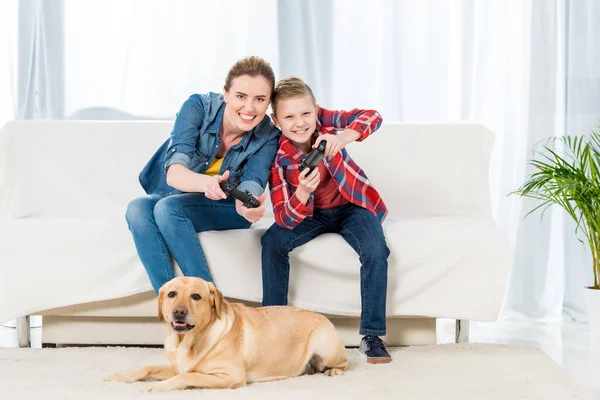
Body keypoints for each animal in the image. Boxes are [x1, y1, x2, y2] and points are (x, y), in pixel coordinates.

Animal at [103, 276, 346, 392]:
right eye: (172, 294)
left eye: (196, 296)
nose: (179, 312)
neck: (187, 342)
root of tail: (324, 317)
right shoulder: (175, 365)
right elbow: (147, 368)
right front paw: (119, 376)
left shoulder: (230, 376)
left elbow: (187, 376)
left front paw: (158, 386)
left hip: (324, 344)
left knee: (344, 363)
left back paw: (334, 371)